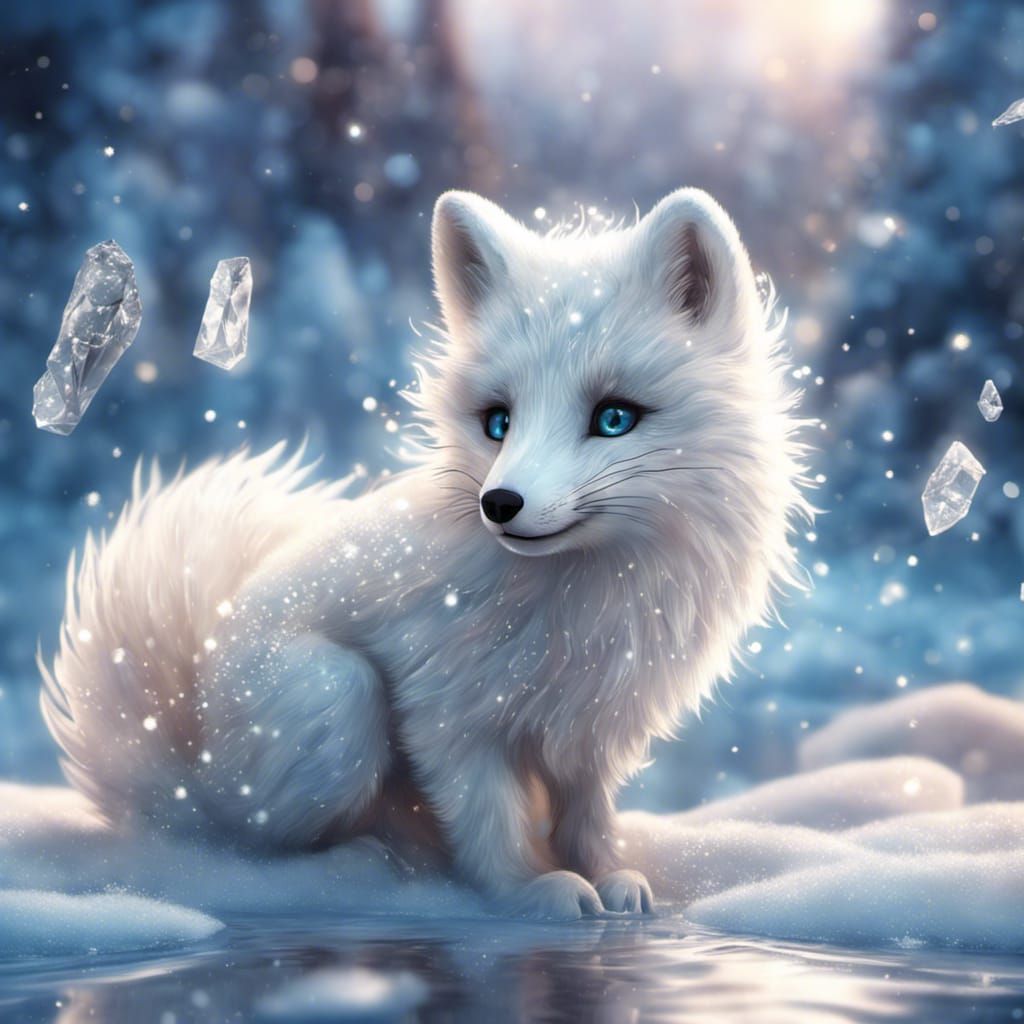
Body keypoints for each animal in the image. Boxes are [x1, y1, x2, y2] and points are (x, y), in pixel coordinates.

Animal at [40, 188, 810, 919]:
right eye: (497, 422)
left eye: (614, 418)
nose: (500, 504)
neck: (580, 599)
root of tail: (189, 752)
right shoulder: (446, 711)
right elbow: (488, 823)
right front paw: (531, 895)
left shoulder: (592, 727)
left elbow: (588, 818)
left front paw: (611, 878)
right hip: (336, 702)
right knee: (248, 846)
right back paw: (361, 863)